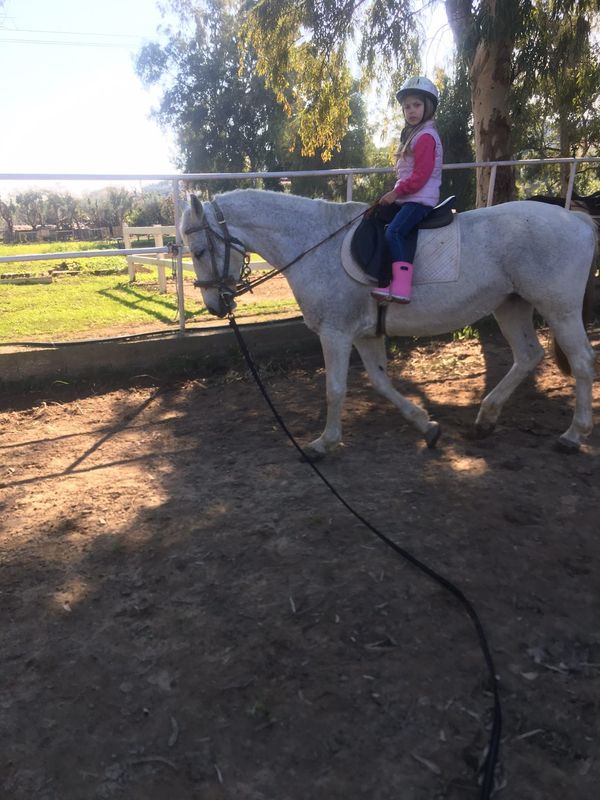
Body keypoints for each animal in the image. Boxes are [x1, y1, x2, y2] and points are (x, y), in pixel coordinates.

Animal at [181, 189, 597, 457]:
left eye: (199, 251)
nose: (215, 306)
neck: (316, 244)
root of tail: (576, 219)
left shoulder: (335, 333)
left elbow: (335, 389)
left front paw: (324, 443)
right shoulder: (365, 334)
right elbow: (381, 382)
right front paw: (426, 427)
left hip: (559, 309)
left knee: (581, 362)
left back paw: (573, 435)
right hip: (511, 305)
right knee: (528, 355)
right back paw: (486, 418)